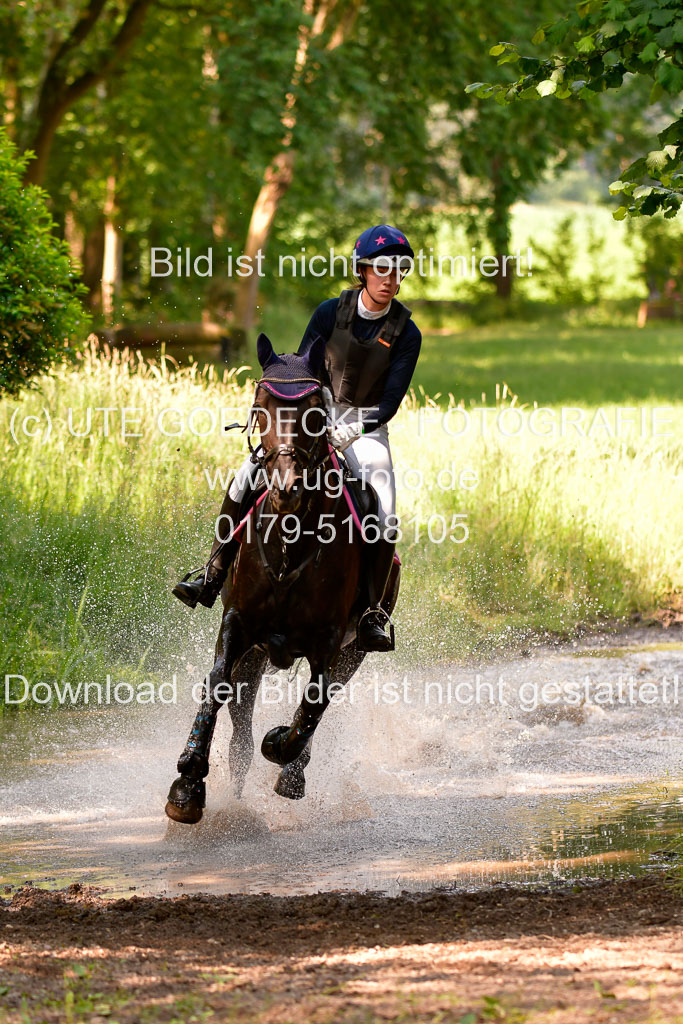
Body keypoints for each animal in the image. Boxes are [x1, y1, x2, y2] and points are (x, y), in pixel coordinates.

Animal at [165, 333, 401, 823]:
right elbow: (216, 681)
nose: (286, 488)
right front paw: (188, 783)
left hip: (355, 651)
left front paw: (279, 747)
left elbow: (313, 703)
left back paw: (292, 771)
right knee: (239, 726)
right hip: (256, 655)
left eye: (315, 412)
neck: (293, 536)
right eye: (259, 408)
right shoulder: (238, 623)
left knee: (321, 703)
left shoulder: (329, 643)